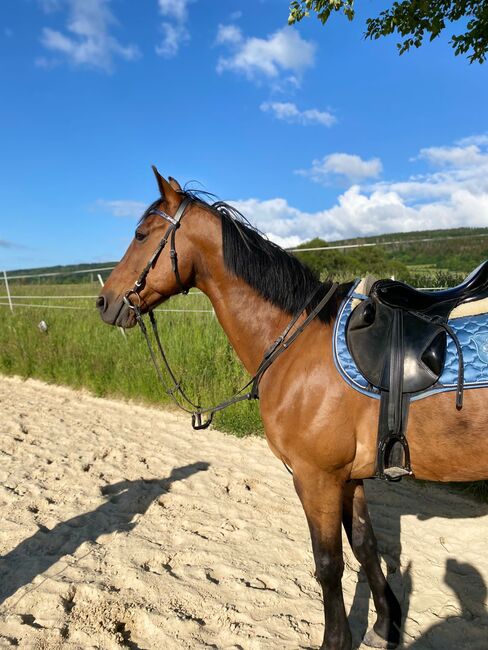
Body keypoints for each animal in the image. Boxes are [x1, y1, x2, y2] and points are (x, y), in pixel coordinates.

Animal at [96, 167, 488, 648]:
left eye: (140, 234)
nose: (105, 302)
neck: (296, 341)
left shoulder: (315, 477)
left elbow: (328, 564)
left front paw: (337, 639)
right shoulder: (347, 477)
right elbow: (365, 546)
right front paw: (384, 624)